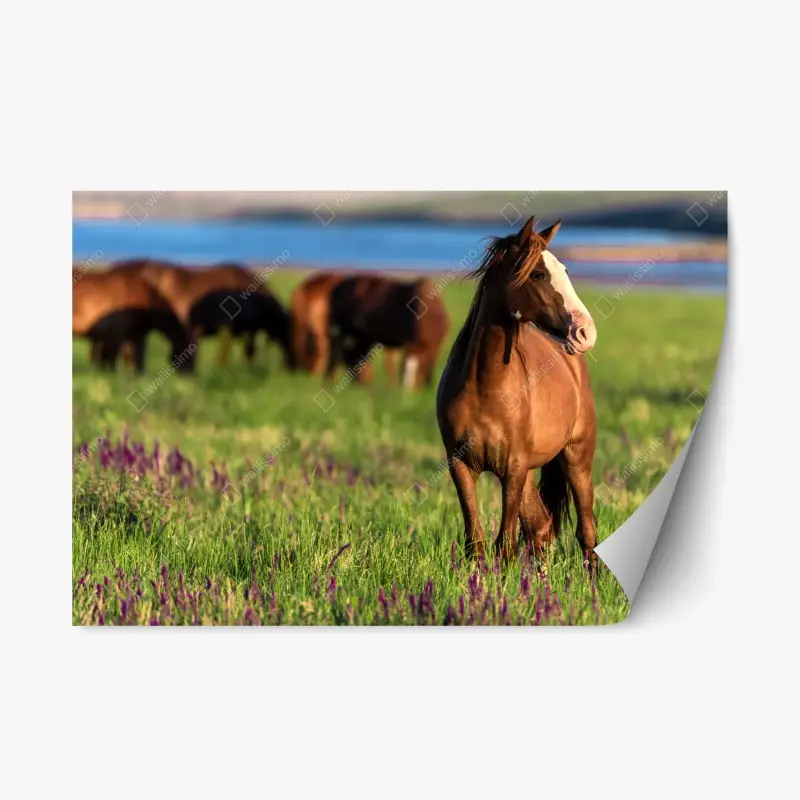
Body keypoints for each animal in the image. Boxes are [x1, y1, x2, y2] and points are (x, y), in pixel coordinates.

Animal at [436, 216, 598, 569]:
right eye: (538, 274)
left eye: (564, 270)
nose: (585, 332)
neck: (485, 387)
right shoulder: (461, 465)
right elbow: (476, 542)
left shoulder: (513, 468)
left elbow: (505, 545)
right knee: (542, 529)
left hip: (577, 459)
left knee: (586, 533)